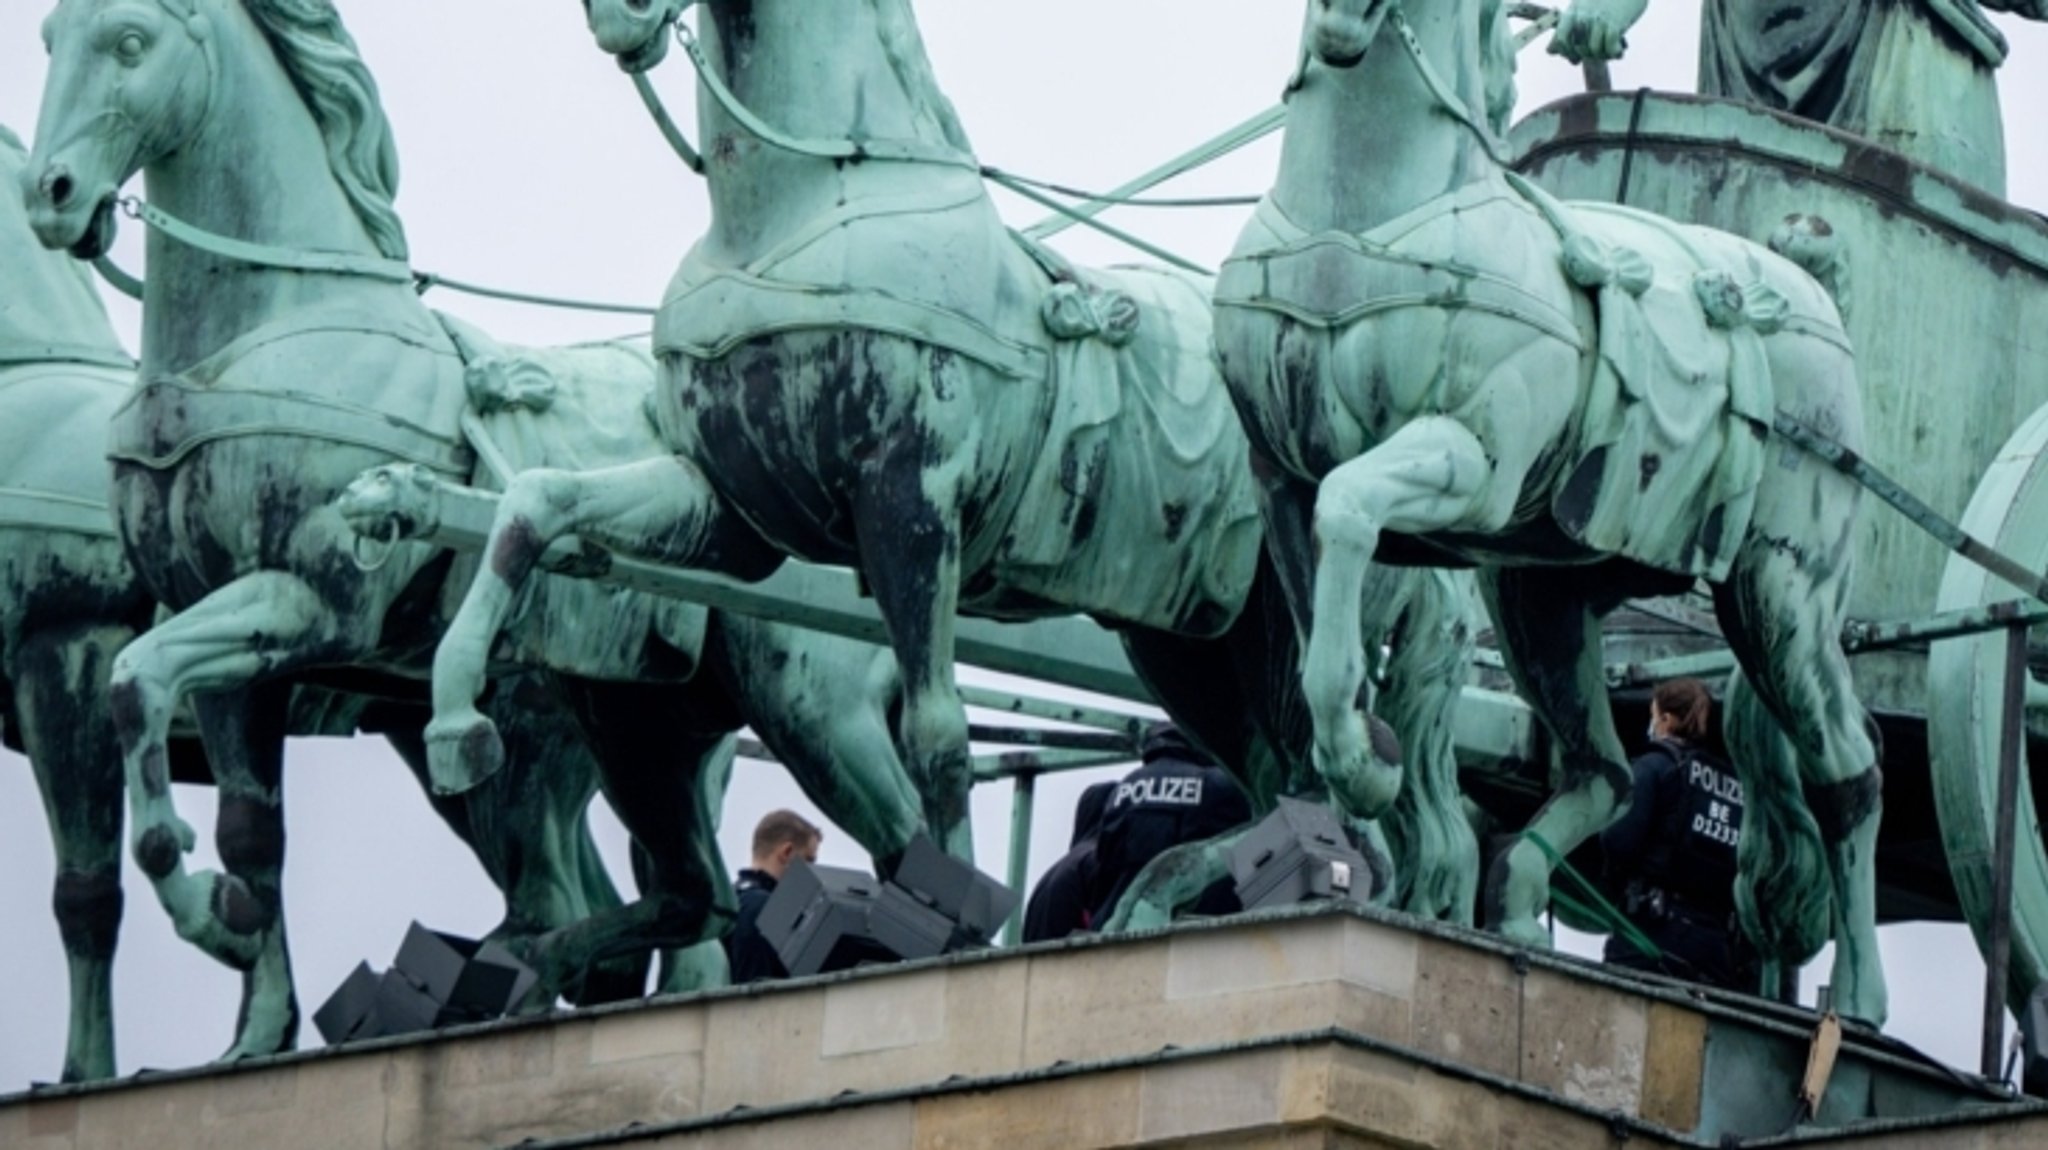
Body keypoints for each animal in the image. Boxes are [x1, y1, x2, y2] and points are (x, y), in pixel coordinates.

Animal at [24, 0, 933, 1064]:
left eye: (130, 42)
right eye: (48, 39)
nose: (51, 193)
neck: (263, 339)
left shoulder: (309, 606)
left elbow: (140, 700)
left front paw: (211, 915)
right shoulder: (228, 651)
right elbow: (232, 812)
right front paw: (246, 1001)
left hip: (805, 708)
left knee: (902, 834)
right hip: (641, 721)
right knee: (688, 896)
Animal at [1212, 0, 1884, 1019]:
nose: (1340, 24)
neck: (1366, 206)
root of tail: (1805, 288)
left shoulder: (1470, 463)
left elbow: (1351, 506)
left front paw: (1366, 765)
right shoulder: (1277, 475)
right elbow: (1323, 618)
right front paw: (1358, 759)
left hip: (1783, 597)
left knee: (1847, 775)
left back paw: (1859, 1001)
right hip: (1542, 601)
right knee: (1604, 772)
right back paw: (1519, 903)